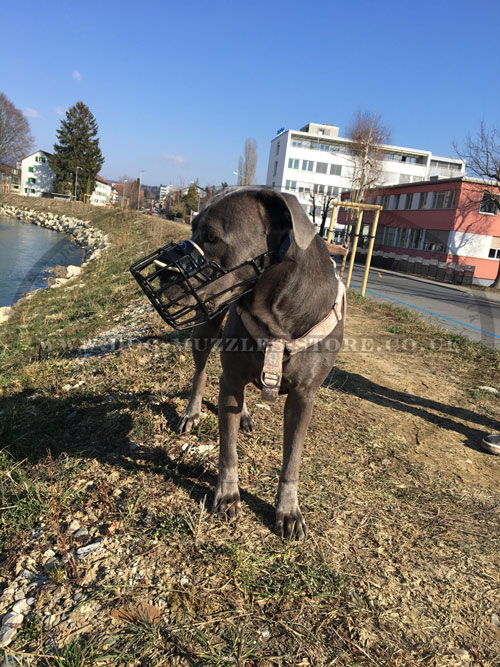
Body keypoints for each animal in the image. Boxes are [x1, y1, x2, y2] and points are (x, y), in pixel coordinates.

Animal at [172, 185, 344, 540]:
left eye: (211, 236)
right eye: (192, 228)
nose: (165, 276)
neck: (277, 313)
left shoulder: (304, 397)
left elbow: (292, 459)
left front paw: (288, 511)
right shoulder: (232, 377)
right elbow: (228, 449)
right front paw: (227, 495)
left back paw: (245, 414)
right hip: (206, 329)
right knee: (201, 372)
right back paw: (192, 413)